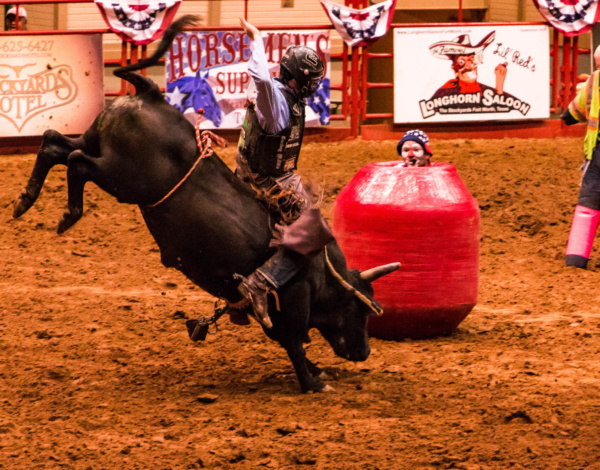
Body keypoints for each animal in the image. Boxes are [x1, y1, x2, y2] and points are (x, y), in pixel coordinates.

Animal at [12, 15, 398, 392]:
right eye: (360, 308)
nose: (364, 351)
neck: (321, 272)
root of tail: (150, 96)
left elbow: (286, 340)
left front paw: (316, 372)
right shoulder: (292, 302)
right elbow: (293, 342)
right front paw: (313, 382)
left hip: (96, 144)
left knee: (54, 144)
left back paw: (25, 201)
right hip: (122, 177)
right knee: (76, 162)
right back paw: (68, 214)